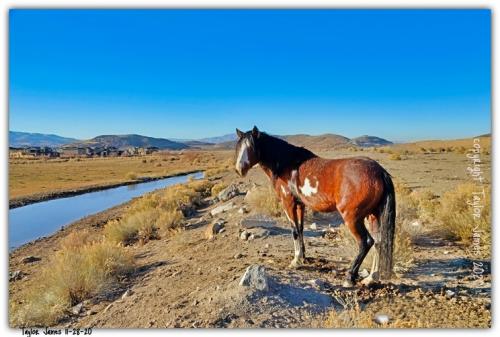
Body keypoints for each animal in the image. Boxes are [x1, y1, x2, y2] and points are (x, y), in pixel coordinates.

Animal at [234, 126, 394, 286]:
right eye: (239, 146)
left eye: (251, 146)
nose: (239, 169)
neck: (288, 164)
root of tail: (380, 172)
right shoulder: (300, 205)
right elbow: (300, 229)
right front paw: (303, 257)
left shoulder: (288, 204)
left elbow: (294, 231)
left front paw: (295, 260)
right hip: (373, 215)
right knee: (379, 242)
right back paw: (370, 278)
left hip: (352, 218)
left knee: (366, 242)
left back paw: (350, 277)